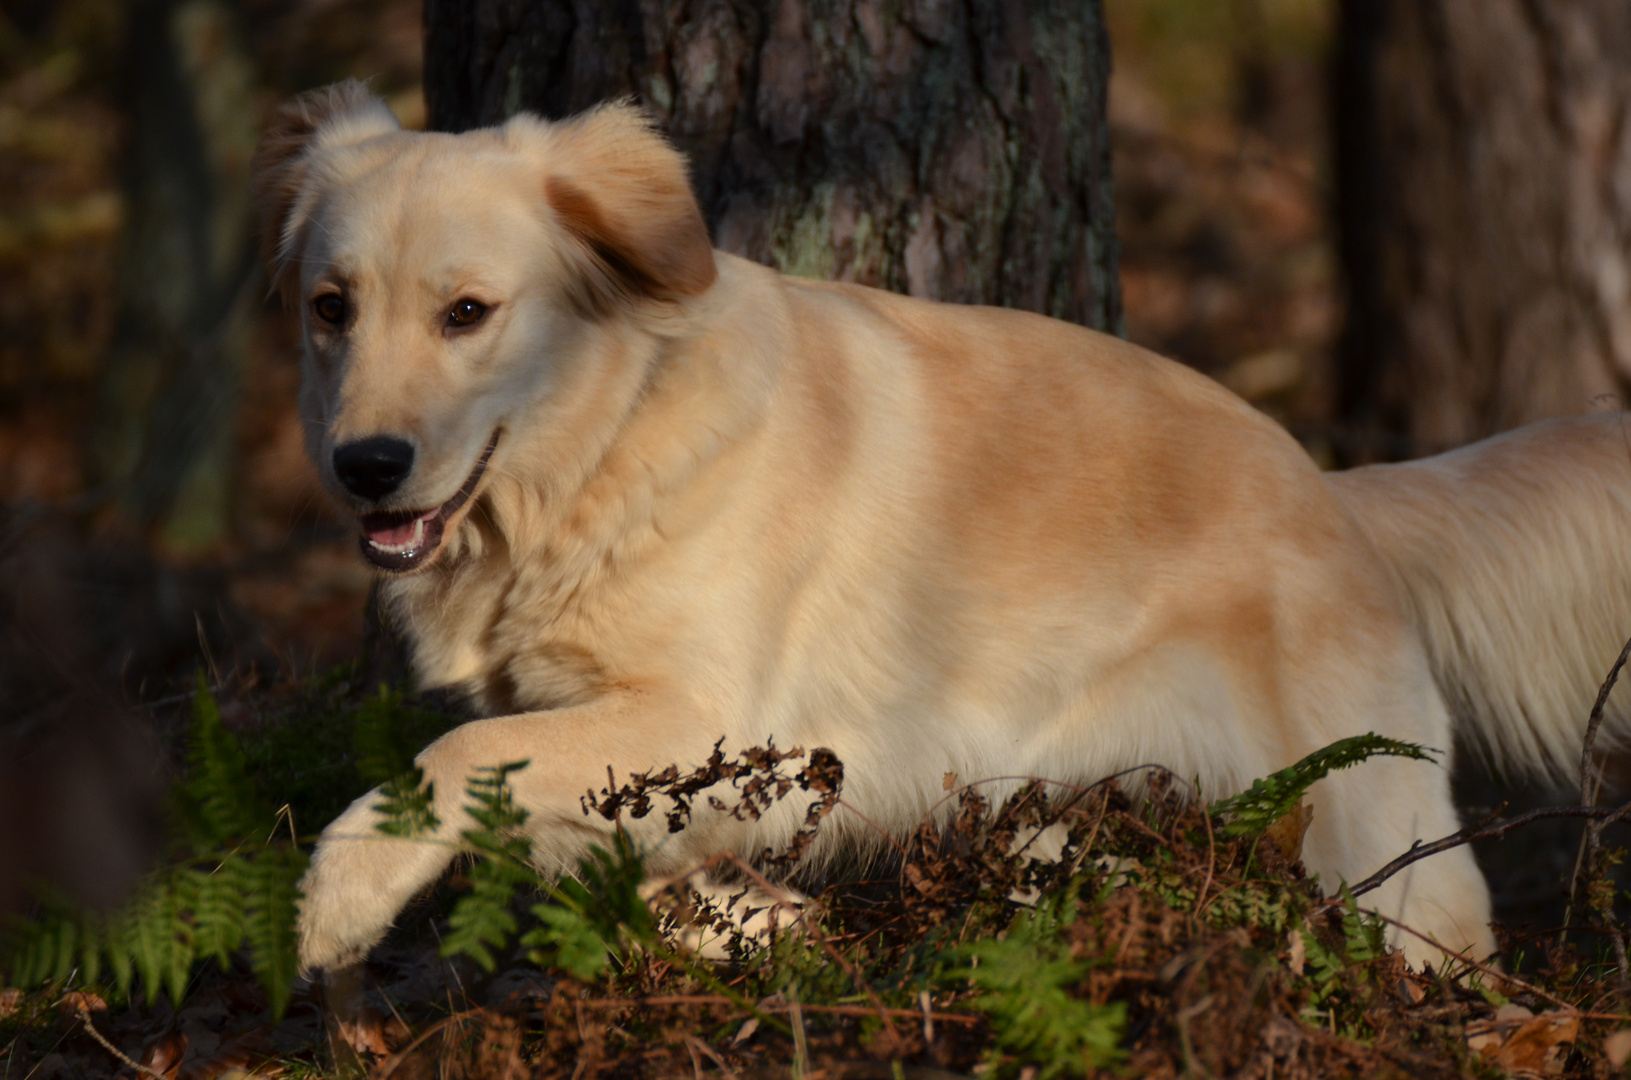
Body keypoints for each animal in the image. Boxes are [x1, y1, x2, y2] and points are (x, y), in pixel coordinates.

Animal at [251, 80, 1631, 978]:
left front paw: (337, 904)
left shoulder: (707, 719)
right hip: (1060, 823)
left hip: (1369, 829)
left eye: (467, 312)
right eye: (331, 307)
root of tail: (1330, 488)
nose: (363, 468)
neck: (603, 444)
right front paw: (759, 928)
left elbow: (447, 760)